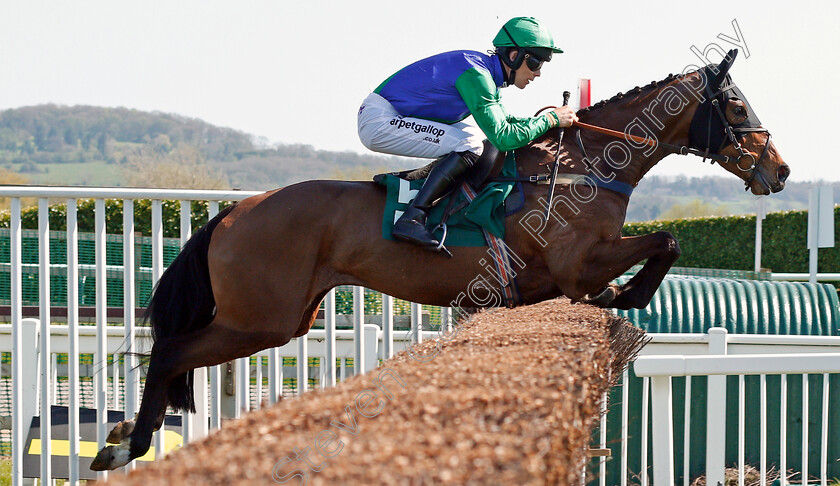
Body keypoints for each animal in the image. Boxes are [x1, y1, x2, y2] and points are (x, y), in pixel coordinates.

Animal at [90, 47, 788, 468]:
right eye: (736, 104)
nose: (779, 170)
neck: (584, 166)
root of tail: (236, 212)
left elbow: (664, 244)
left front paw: (621, 297)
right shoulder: (574, 264)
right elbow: (664, 243)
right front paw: (625, 294)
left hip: (280, 317)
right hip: (260, 318)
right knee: (171, 351)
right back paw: (128, 444)